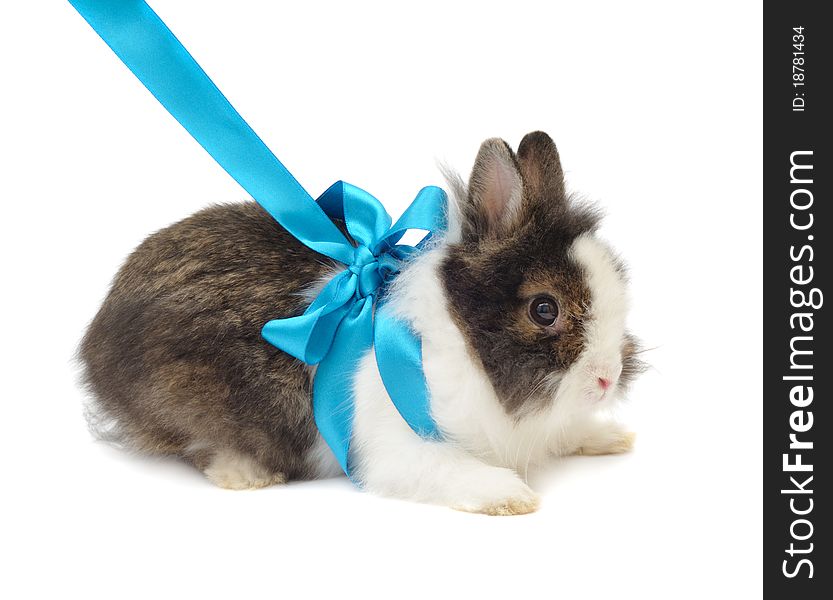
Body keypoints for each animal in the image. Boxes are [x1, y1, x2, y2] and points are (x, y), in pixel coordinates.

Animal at [79, 131, 644, 516]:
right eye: (545, 309)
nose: (607, 379)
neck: (457, 337)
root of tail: (96, 335)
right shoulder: (397, 448)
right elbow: (448, 468)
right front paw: (510, 495)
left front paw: (608, 437)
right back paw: (245, 473)